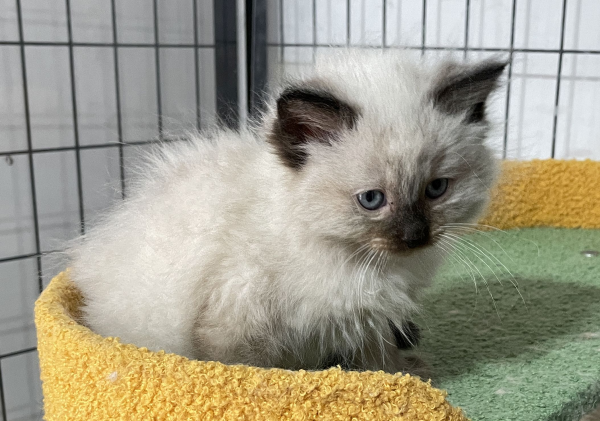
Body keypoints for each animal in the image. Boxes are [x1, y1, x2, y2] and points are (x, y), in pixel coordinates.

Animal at [68, 50, 504, 374]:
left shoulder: (370, 315)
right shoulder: (236, 321)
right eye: (372, 199)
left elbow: (378, 353)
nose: (415, 236)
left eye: (436, 189)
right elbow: (252, 371)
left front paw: (402, 373)